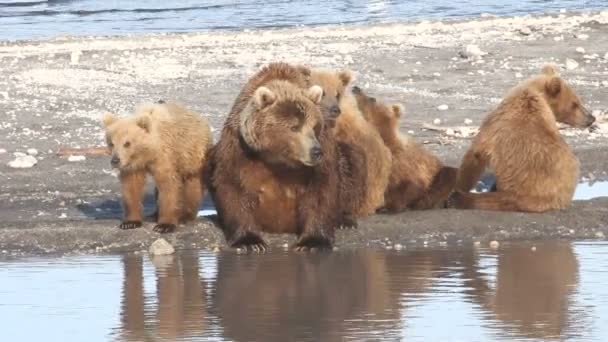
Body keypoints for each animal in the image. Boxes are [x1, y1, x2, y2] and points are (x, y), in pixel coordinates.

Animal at [102, 102, 211, 232]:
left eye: (127, 143)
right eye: (111, 143)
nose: (115, 160)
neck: (148, 153)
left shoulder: (164, 157)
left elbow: (168, 187)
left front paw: (164, 225)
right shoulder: (133, 166)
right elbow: (131, 187)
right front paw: (130, 222)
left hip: (193, 155)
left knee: (193, 186)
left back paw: (186, 215)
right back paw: (154, 214)